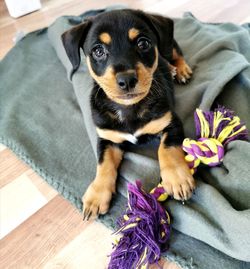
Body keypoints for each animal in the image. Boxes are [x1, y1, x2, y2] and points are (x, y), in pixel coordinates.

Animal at [61, 9, 194, 220]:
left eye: (143, 43)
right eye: (98, 51)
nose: (127, 80)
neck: (129, 108)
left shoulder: (170, 122)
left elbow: (166, 149)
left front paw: (177, 179)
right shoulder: (107, 138)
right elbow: (104, 164)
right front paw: (97, 195)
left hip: (169, 44)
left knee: (174, 53)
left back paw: (180, 69)